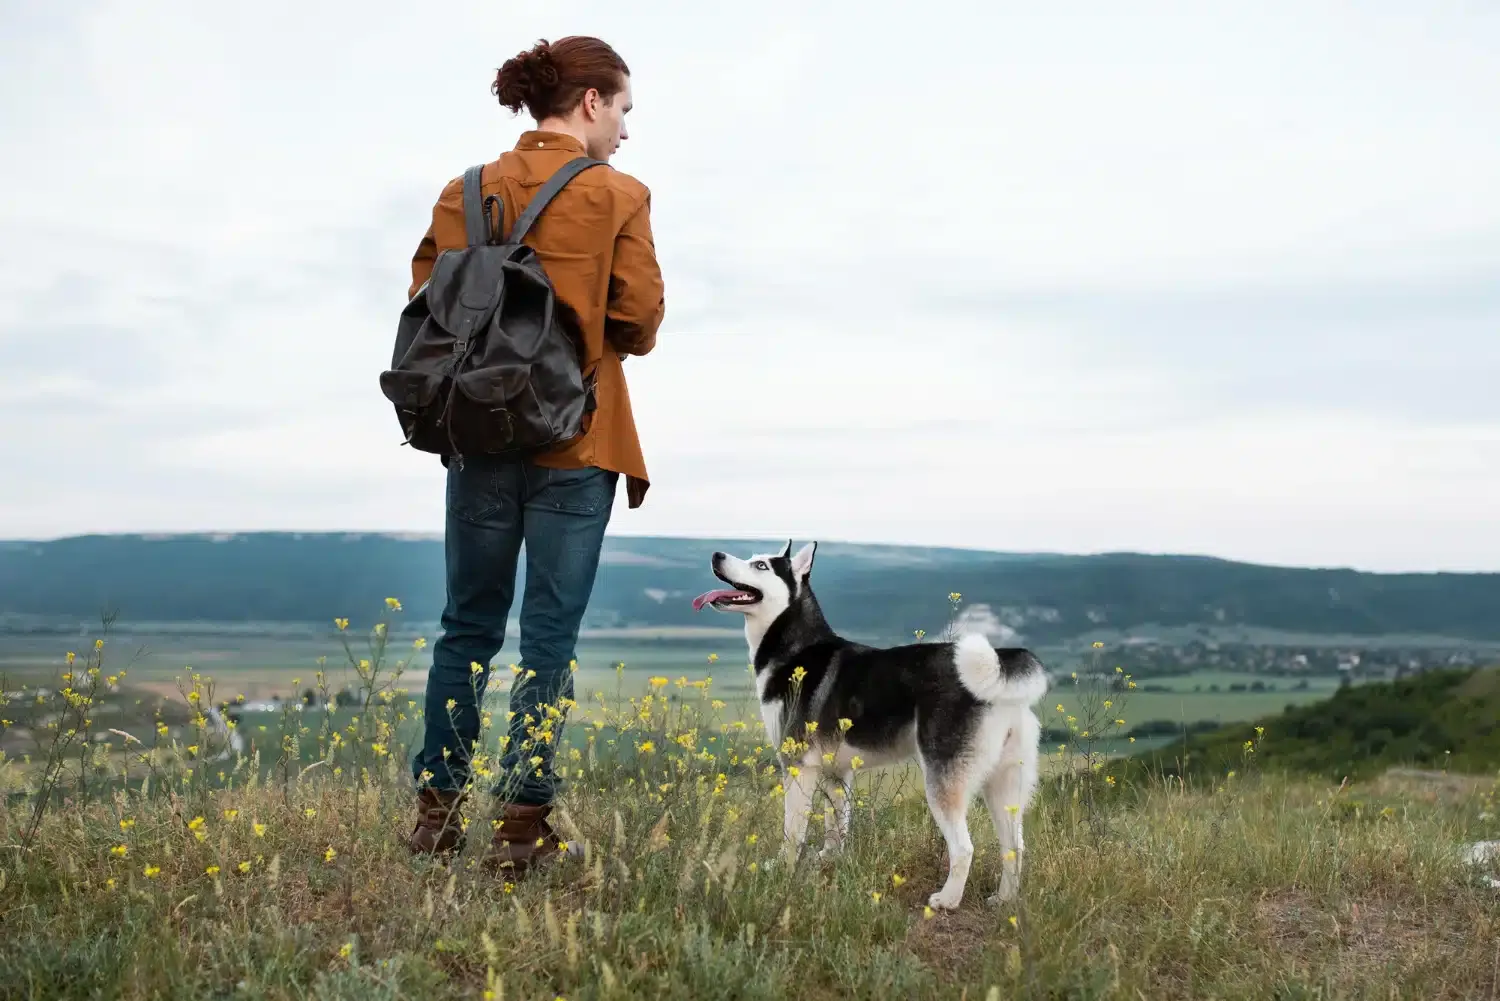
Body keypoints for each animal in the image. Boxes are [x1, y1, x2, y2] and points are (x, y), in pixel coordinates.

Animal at [687, 543, 1044, 912]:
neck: (795, 649)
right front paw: (828, 860)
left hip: (943, 782)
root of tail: (1002, 664)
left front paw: (782, 870)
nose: (716, 555)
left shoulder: (798, 766)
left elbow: (793, 830)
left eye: (761, 565)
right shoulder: (836, 772)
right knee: (1015, 846)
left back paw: (946, 900)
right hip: (1003, 785)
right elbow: (836, 825)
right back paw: (1004, 899)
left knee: (964, 848)